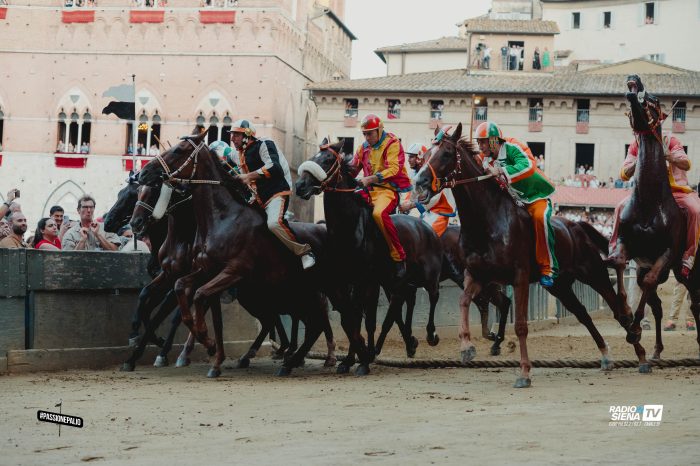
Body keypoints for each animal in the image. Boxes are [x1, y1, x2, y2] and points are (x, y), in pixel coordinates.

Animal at [296, 138, 442, 368]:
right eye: (312, 157)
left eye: (327, 159)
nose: (300, 186)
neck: (351, 227)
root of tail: (426, 228)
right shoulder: (346, 280)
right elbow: (351, 318)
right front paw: (351, 359)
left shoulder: (366, 280)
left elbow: (364, 318)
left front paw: (360, 360)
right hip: (396, 281)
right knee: (404, 303)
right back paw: (408, 342)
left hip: (427, 275)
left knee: (433, 295)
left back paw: (430, 334)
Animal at [416, 123, 640, 386]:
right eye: (426, 154)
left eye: (447, 153)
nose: (419, 181)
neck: (487, 223)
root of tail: (577, 225)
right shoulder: (476, 274)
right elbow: (463, 301)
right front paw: (467, 347)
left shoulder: (519, 277)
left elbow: (521, 325)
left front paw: (524, 372)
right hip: (559, 285)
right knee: (583, 313)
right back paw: (605, 355)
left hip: (593, 272)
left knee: (617, 307)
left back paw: (640, 351)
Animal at [608, 75, 696, 360]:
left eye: (655, 100)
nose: (634, 78)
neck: (649, 203)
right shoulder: (628, 245)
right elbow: (618, 264)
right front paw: (627, 317)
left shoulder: (667, 253)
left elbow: (648, 283)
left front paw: (634, 325)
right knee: (658, 305)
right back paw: (655, 349)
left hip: (687, 270)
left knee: (695, 301)